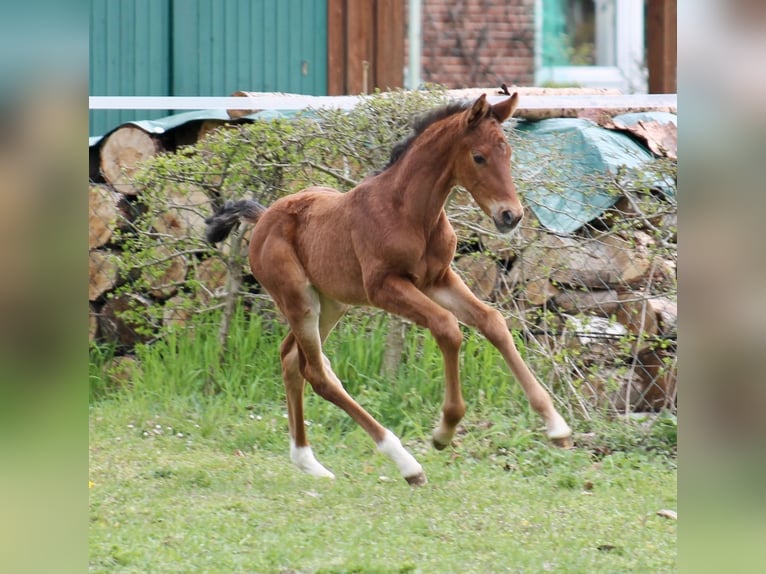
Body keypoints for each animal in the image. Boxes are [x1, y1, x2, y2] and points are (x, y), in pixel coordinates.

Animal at [207, 94, 572, 486]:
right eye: (479, 156)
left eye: (508, 153)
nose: (511, 216)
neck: (411, 212)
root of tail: (262, 219)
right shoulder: (384, 287)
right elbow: (447, 327)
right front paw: (444, 430)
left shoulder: (439, 279)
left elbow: (492, 321)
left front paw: (556, 426)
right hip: (299, 301)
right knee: (316, 373)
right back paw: (406, 463)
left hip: (331, 303)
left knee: (293, 359)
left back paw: (308, 462)